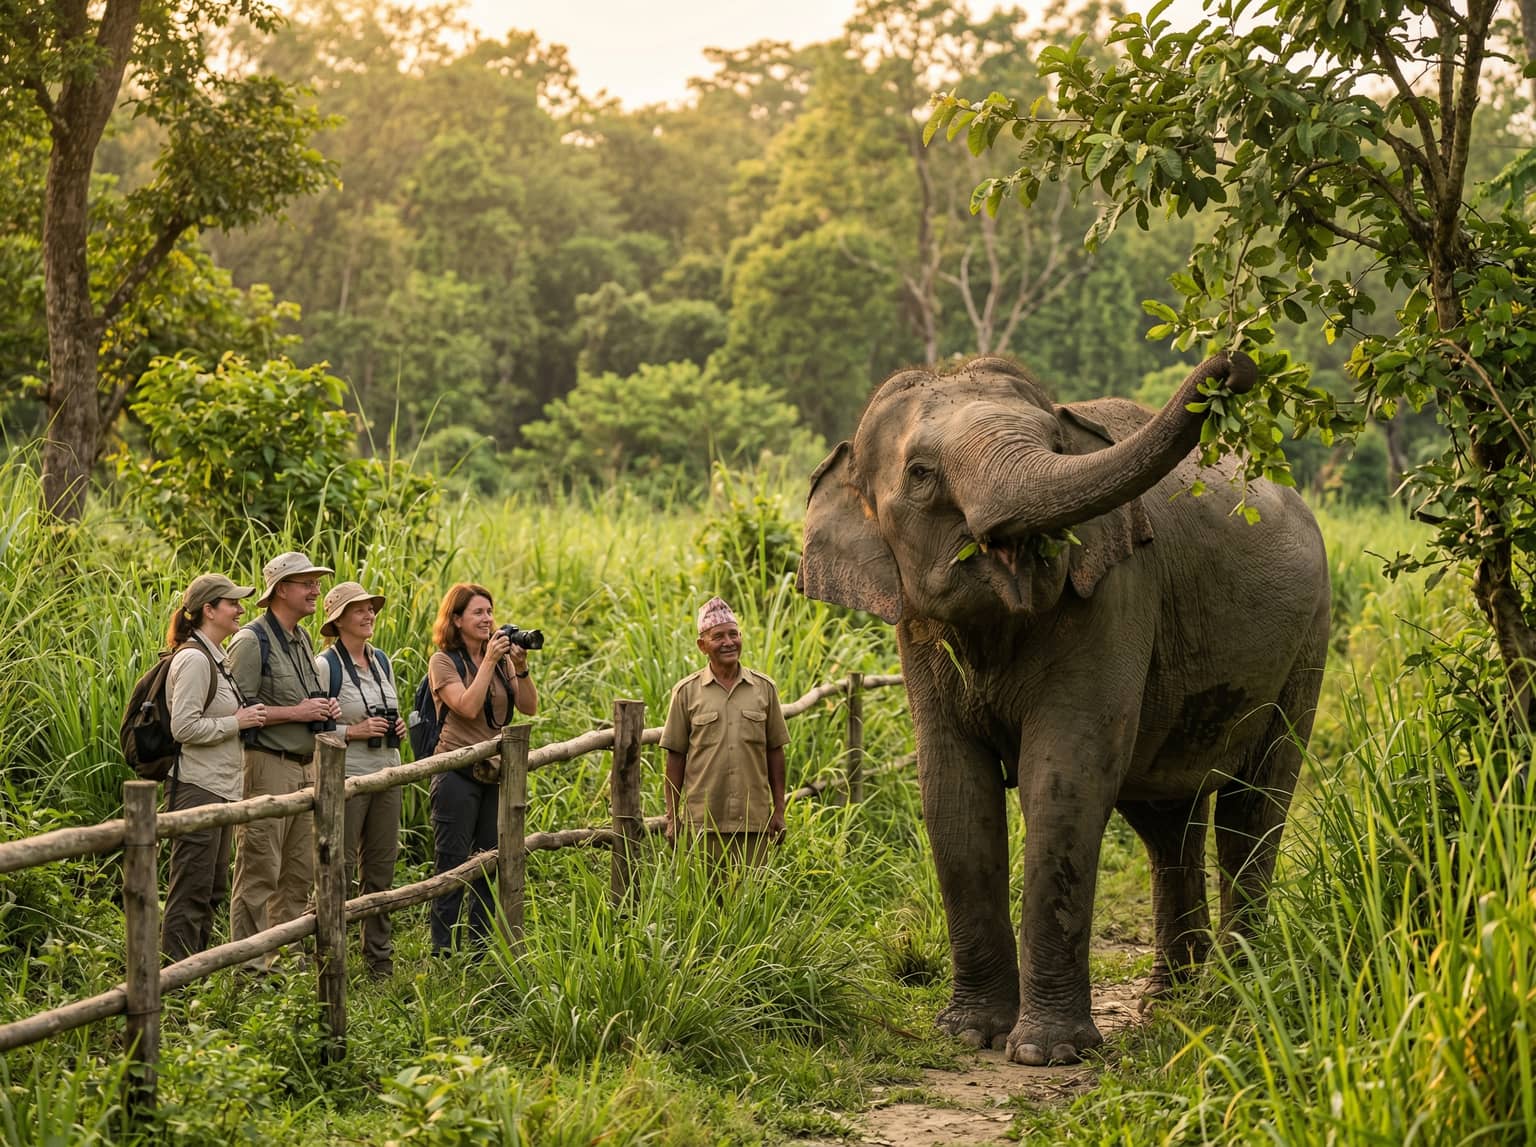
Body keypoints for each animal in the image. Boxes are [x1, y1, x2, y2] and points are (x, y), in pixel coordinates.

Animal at [798, 351, 1329, 1065]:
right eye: (919, 474)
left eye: (1055, 444)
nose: (1236, 364)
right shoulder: (916, 628)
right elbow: (953, 790)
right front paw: (970, 1034)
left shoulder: (1117, 593)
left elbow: (1063, 779)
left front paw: (1045, 1053)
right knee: (1168, 824)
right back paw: (1172, 1002)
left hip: (1308, 640)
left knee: (1252, 808)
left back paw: (1232, 997)